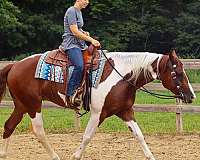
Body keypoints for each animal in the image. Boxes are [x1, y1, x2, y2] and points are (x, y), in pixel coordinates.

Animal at [0, 49, 195, 160]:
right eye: (177, 73)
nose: (191, 96)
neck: (121, 76)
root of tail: (15, 65)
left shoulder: (125, 111)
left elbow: (139, 135)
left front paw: (151, 156)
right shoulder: (98, 113)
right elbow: (87, 136)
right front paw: (76, 155)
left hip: (21, 104)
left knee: (9, 126)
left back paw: (3, 154)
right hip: (33, 104)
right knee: (39, 131)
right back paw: (55, 156)